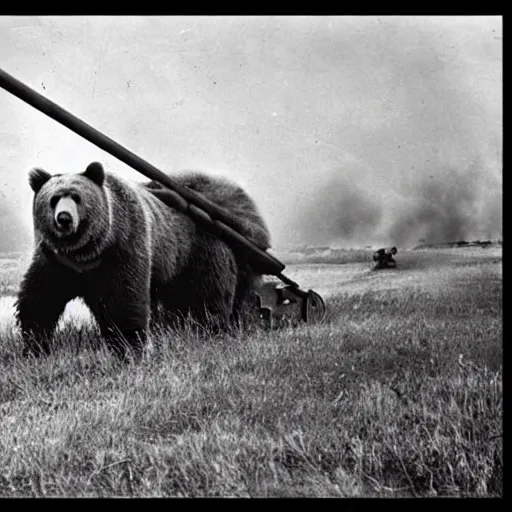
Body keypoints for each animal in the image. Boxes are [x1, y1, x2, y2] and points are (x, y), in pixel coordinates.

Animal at [15, 162, 272, 358]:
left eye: (77, 197)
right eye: (53, 199)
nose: (64, 219)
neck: (86, 253)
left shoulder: (123, 246)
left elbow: (124, 300)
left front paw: (129, 348)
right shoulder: (56, 261)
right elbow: (39, 300)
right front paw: (35, 347)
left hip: (198, 253)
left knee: (209, 297)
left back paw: (213, 330)